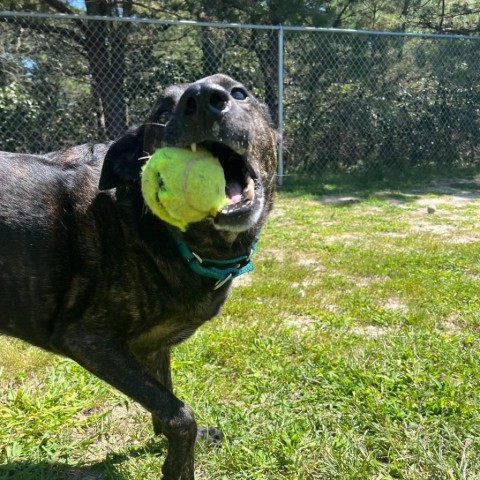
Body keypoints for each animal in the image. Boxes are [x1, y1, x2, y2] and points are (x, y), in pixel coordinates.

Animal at [0, 73, 278, 478]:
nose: (203, 98)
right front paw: (179, 465)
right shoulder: (88, 340)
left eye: (239, 92)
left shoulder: (154, 346)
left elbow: (167, 400)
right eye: (161, 112)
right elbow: (180, 415)